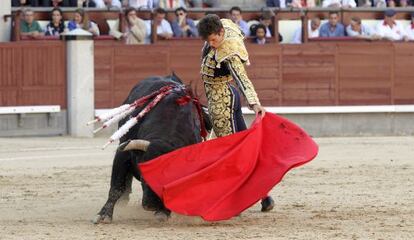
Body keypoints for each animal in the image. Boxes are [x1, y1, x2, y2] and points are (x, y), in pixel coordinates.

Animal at [93, 74, 210, 223]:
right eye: (144, 176)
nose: (151, 205)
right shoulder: (123, 152)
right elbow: (116, 187)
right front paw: (103, 215)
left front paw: (163, 212)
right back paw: (122, 201)